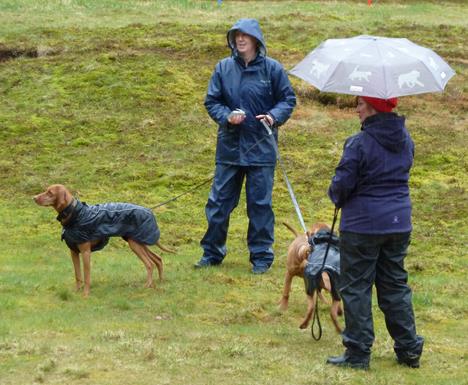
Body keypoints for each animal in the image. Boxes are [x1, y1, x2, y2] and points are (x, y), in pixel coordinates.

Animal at [33, 184, 174, 296]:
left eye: (50, 193)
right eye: (46, 191)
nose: (34, 198)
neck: (76, 214)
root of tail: (149, 211)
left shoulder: (85, 252)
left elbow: (86, 275)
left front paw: (85, 294)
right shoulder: (74, 252)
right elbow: (78, 275)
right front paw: (76, 291)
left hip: (136, 244)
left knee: (149, 264)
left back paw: (147, 286)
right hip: (138, 241)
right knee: (158, 259)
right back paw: (161, 282)